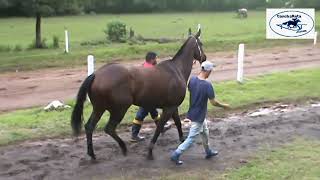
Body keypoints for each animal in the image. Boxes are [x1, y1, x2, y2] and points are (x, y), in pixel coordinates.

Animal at [71, 28, 206, 160]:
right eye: (201, 43)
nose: (204, 58)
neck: (176, 70)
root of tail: (96, 74)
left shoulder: (173, 107)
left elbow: (177, 123)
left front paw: (182, 141)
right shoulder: (169, 108)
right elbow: (159, 127)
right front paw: (150, 151)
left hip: (99, 108)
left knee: (89, 127)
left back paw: (92, 154)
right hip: (119, 109)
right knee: (109, 128)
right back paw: (123, 147)